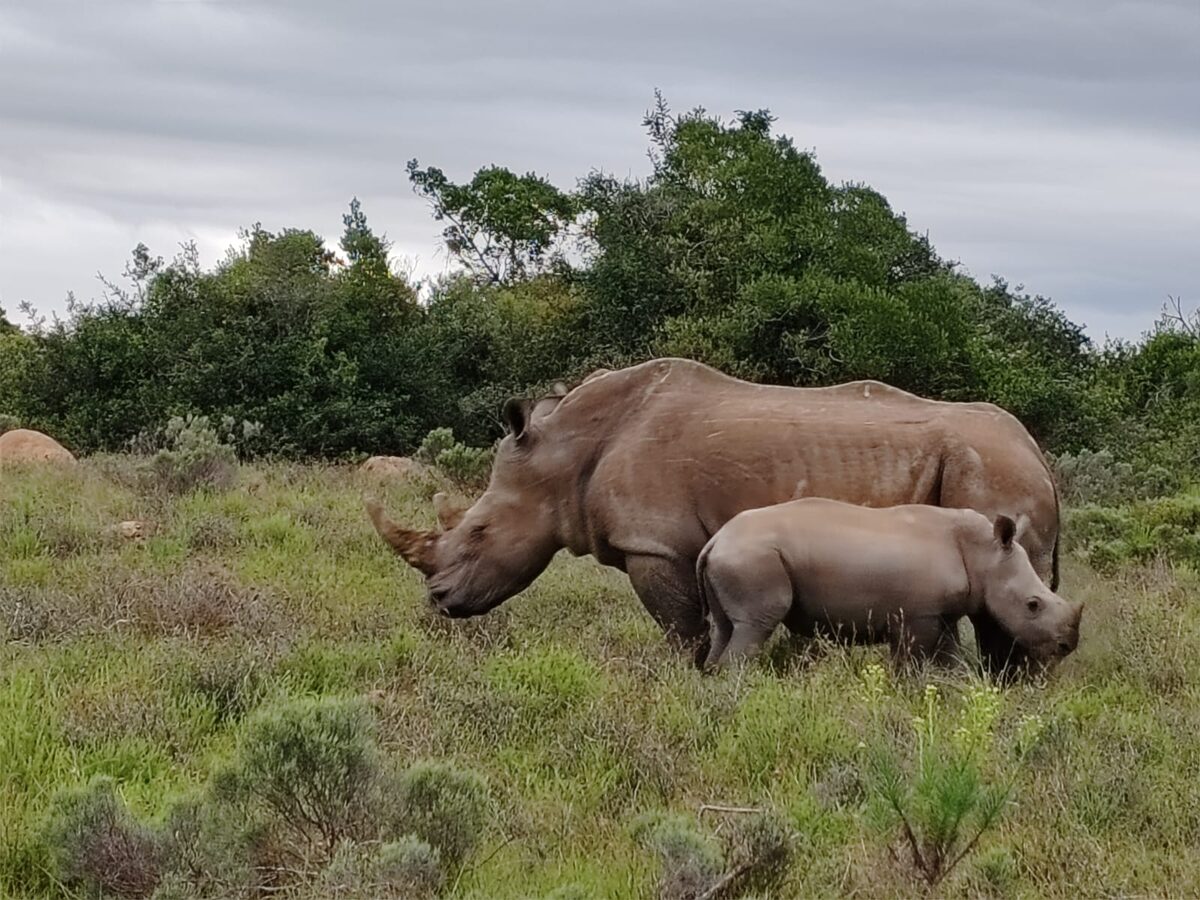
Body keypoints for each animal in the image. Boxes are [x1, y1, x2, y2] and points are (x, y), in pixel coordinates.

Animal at [697, 497, 1082, 670]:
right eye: (1033, 605)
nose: (1067, 646)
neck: (984, 554)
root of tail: (715, 541)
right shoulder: (916, 616)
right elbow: (909, 664)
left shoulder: (941, 614)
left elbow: (950, 658)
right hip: (752, 558)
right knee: (756, 625)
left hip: (735, 557)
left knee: (727, 627)